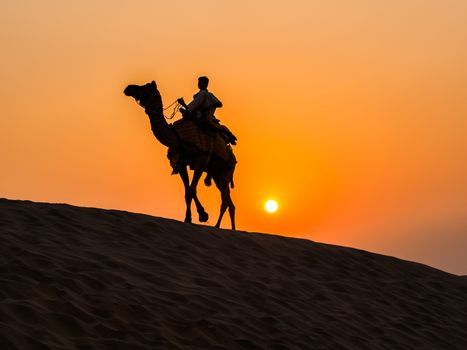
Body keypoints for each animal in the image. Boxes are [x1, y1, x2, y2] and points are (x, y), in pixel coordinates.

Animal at [123, 80, 238, 231]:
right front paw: (188, 218)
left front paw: (203, 215)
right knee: (230, 202)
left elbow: (191, 190)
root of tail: (233, 157)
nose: (128, 88)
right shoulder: (182, 163)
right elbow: (187, 192)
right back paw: (233, 229)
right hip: (217, 175)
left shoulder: (200, 162)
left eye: (145, 87)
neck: (177, 138)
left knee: (224, 200)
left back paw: (217, 226)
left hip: (225, 172)